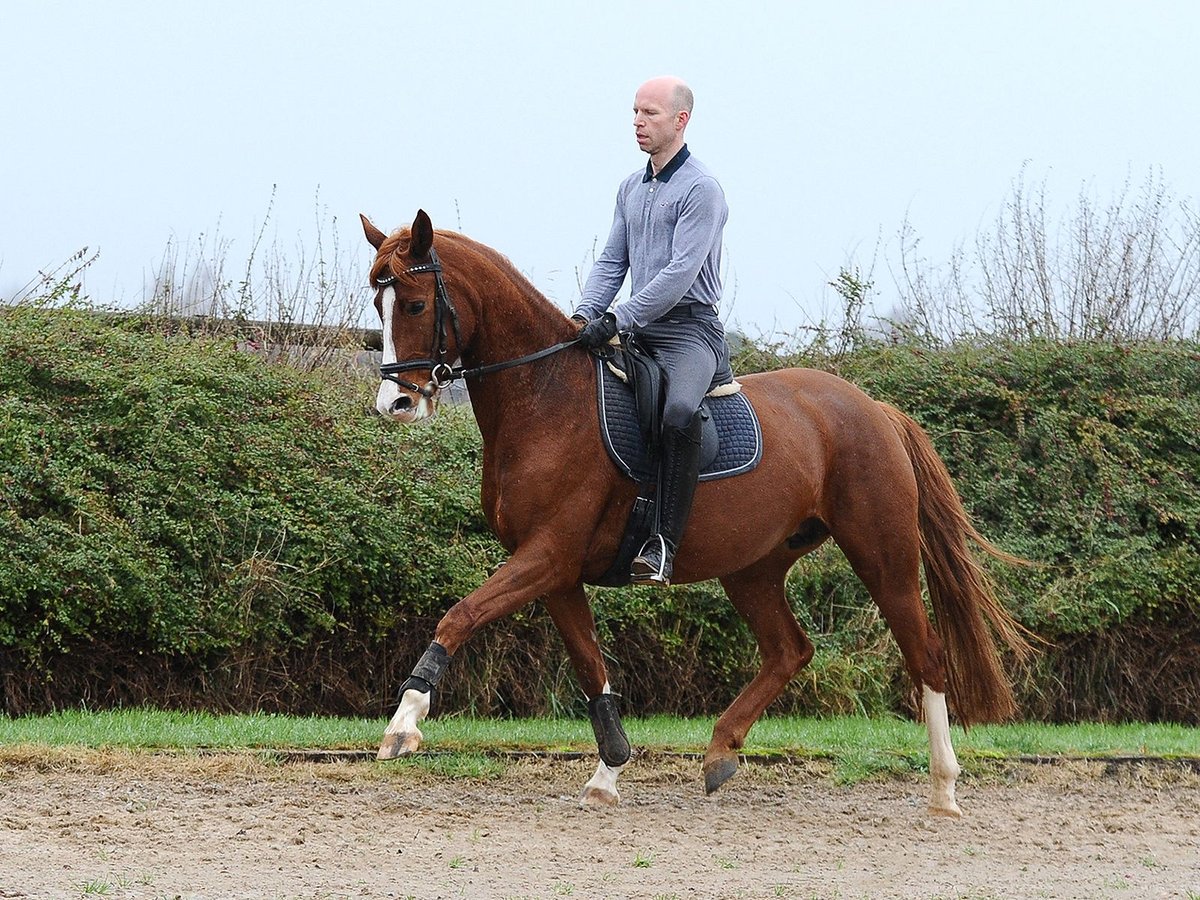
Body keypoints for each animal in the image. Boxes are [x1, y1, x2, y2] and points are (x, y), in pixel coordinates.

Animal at [360, 210, 1027, 816]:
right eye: (377, 304)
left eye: (414, 305)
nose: (396, 403)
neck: (546, 397)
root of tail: (873, 409)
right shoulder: (555, 573)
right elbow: (591, 670)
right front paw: (608, 772)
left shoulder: (546, 556)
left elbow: (459, 616)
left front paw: (403, 724)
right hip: (753, 568)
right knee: (790, 650)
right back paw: (720, 751)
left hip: (882, 555)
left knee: (925, 655)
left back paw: (944, 788)